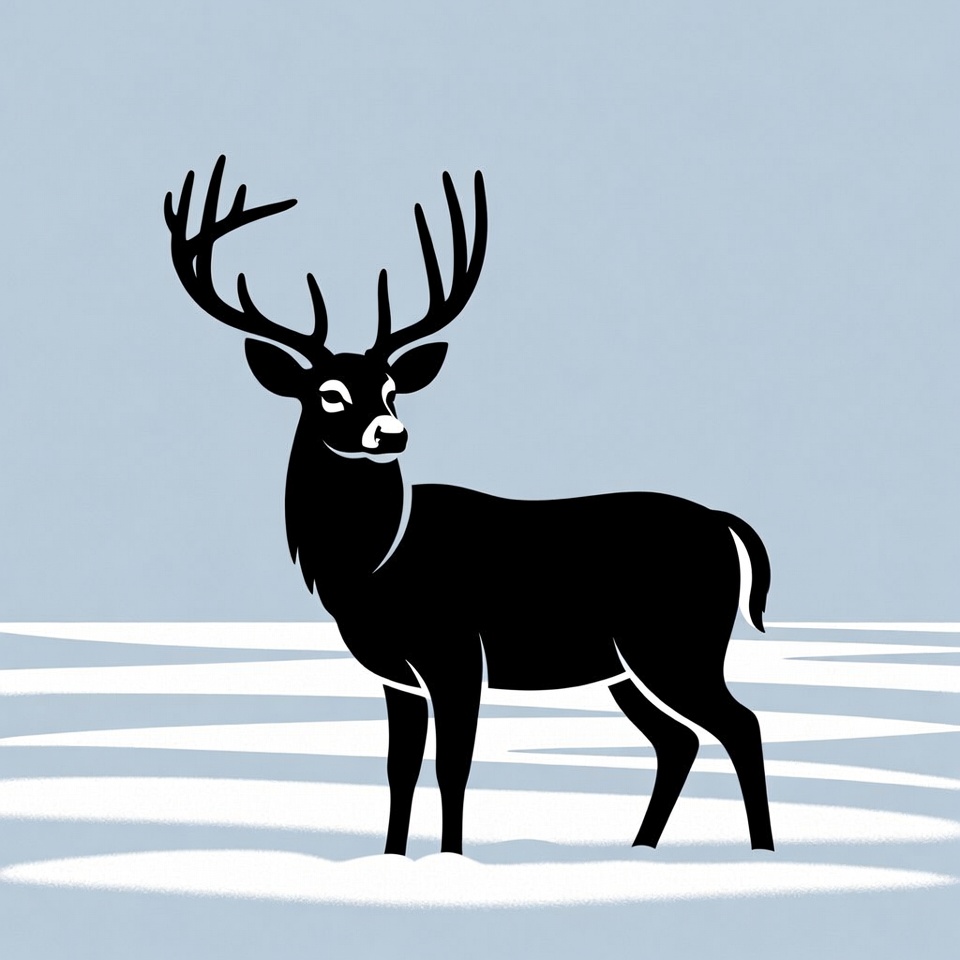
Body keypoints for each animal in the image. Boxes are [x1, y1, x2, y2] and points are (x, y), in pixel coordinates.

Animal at [165, 156, 775, 855]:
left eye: (393, 389)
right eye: (329, 393)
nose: (392, 433)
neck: (376, 565)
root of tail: (724, 525)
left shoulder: (455, 651)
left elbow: (452, 766)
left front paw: (451, 860)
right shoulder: (396, 674)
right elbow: (399, 767)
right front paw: (392, 859)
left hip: (677, 641)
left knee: (741, 724)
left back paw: (760, 853)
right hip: (626, 664)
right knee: (679, 740)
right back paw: (641, 852)